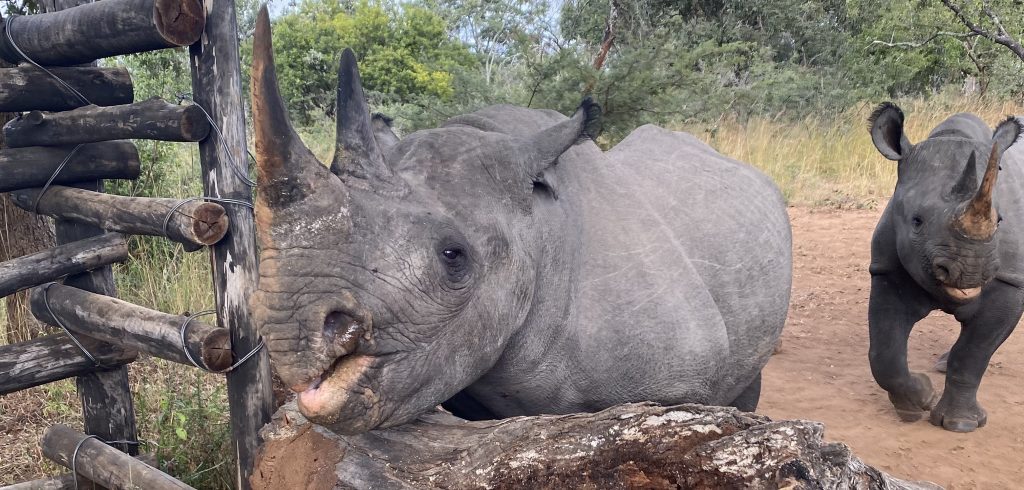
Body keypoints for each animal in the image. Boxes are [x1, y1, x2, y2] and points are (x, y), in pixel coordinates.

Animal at [868, 103, 1019, 433]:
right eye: (916, 221)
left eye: (1000, 221)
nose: (970, 271)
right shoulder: (887, 270)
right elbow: (885, 352)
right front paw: (918, 401)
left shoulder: (1009, 281)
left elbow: (974, 352)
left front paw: (959, 424)